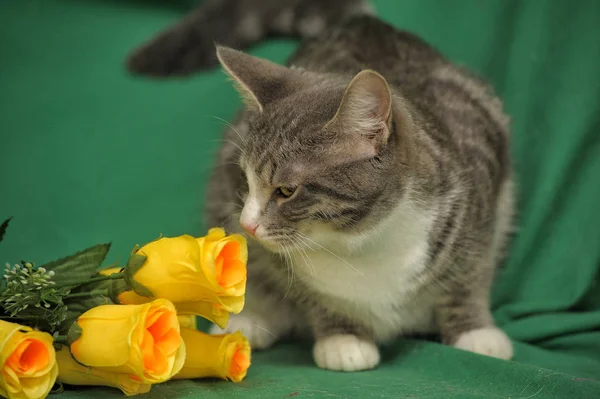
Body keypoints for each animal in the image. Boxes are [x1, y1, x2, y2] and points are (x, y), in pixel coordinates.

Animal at [129, 0, 512, 374]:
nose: (247, 224)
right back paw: (252, 319)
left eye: (286, 191)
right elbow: (312, 296)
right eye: (245, 180)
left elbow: (470, 274)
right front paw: (344, 338)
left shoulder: (482, 191)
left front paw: (474, 331)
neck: (362, 245)